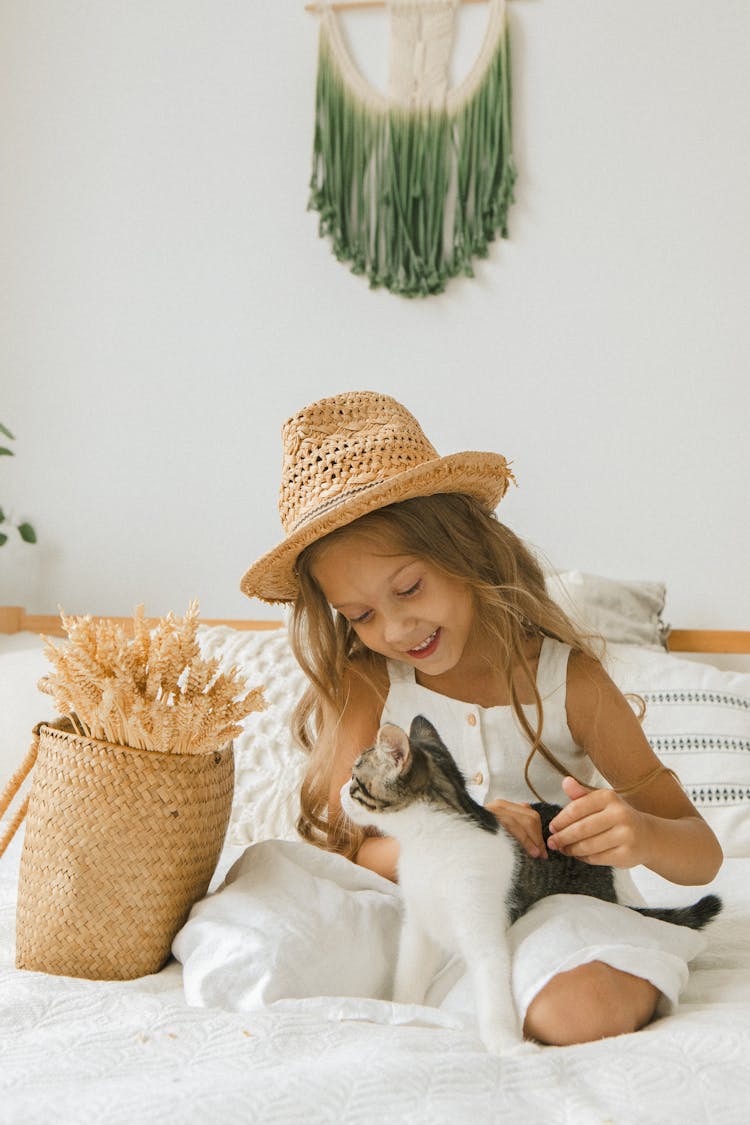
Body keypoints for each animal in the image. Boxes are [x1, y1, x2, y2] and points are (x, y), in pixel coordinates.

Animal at [341, 715, 719, 1048]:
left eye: (356, 778)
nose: (342, 791)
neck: (430, 842)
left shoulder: (482, 923)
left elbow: (490, 980)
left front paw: (504, 1043)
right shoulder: (419, 924)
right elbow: (409, 971)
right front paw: (405, 1009)